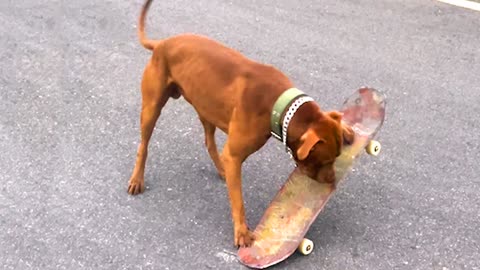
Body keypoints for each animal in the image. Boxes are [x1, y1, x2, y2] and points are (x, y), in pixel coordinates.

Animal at [126, 0, 352, 248]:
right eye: (326, 160)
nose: (333, 182)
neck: (279, 106)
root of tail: (161, 44)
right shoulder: (234, 155)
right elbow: (239, 200)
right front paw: (242, 231)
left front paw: (346, 129)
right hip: (152, 108)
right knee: (144, 145)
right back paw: (137, 179)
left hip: (206, 107)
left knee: (209, 142)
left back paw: (221, 169)